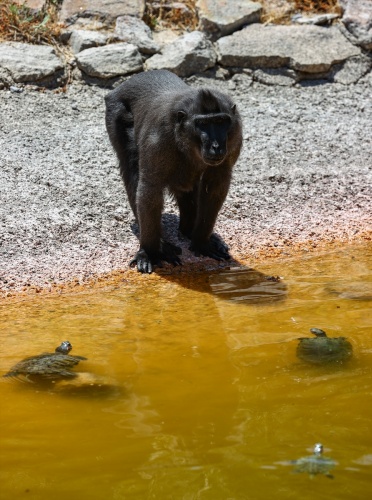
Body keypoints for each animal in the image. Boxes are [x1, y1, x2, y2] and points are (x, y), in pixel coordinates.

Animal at [105, 69, 244, 274]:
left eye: (220, 121)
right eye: (203, 124)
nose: (216, 146)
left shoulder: (235, 134)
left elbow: (215, 184)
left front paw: (202, 242)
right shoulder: (158, 140)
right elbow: (150, 188)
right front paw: (150, 252)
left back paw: (189, 231)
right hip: (116, 111)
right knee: (131, 167)